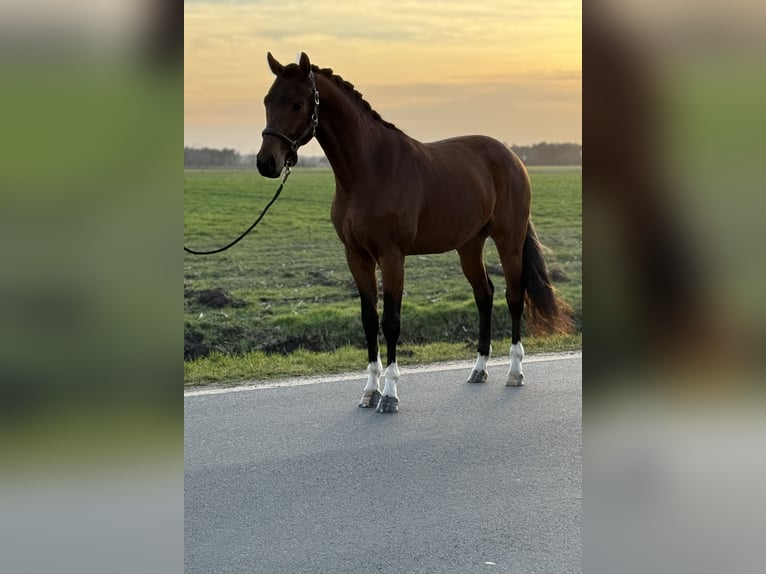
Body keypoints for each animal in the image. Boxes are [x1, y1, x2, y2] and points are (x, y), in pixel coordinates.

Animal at [256, 53, 568, 414]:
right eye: (267, 100)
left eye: (297, 103)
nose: (266, 162)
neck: (369, 170)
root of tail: (512, 157)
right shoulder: (356, 257)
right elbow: (369, 319)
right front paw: (369, 391)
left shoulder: (392, 256)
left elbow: (391, 321)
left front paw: (389, 395)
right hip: (469, 245)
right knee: (484, 294)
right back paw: (478, 369)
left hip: (509, 240)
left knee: (514, 296)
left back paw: (515, 371)